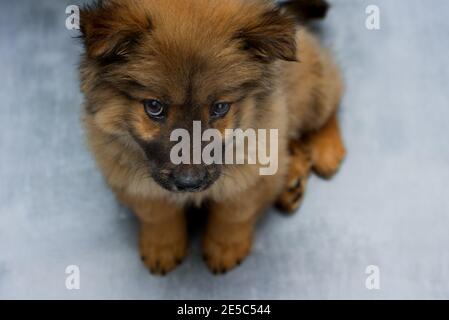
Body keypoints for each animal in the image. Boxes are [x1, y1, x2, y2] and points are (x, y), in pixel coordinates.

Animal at [79, 0, 344, 276]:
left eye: (219, 108)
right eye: (154, 106)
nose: (189, 183)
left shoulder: (252, 172)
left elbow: (233, 213)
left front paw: (225, 247)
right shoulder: (126, 175)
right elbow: (157, 214)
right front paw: (162, 246)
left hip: (312, 93)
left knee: (331, 104)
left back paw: (327, 151)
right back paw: (293, 179)